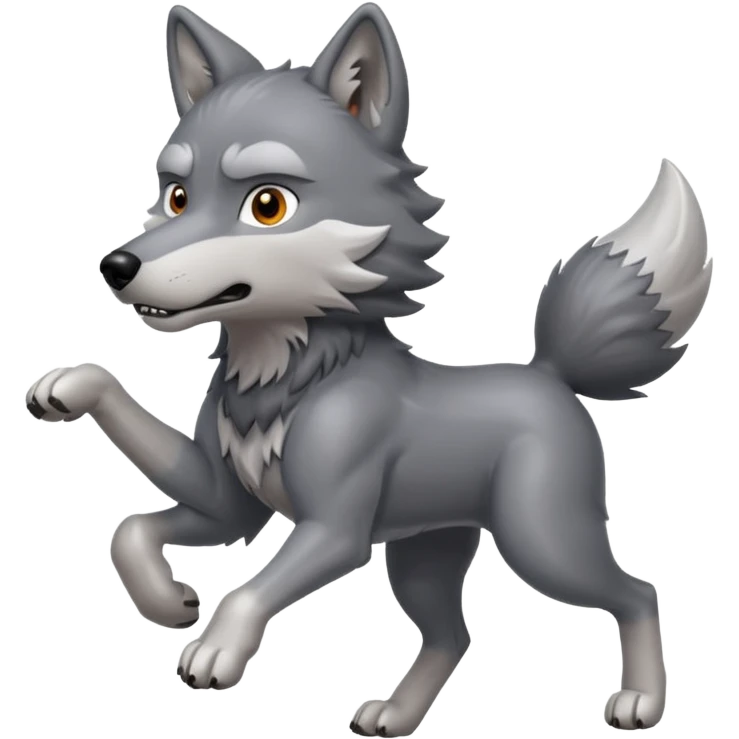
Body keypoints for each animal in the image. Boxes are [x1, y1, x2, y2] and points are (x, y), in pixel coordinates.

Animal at [25, 2, 711, 734]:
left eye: (267, 204)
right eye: (176, 196)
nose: (117, 266)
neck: (289, 376)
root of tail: (548, 373)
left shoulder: (334, 531)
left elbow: (248, 590)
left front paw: (214, 649)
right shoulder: (228, 505)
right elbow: (129, 529)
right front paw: (167, 597)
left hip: (542, 541)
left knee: (636, 591)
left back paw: (641, 701)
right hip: (425, 554)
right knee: (452, 635)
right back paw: (396, 714)